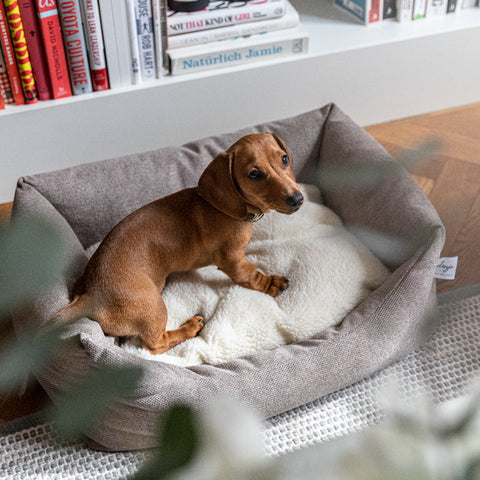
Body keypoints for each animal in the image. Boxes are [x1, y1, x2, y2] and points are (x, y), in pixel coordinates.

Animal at [56, 132, 304, 354]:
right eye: (254, 174)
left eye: (284, 159)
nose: (298, 199)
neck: (224, 207)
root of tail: (89, 297)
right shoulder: (232, 258)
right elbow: (249, 274)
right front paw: (271, 283)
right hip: (153, 307)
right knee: (155, 344)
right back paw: (189, 328)